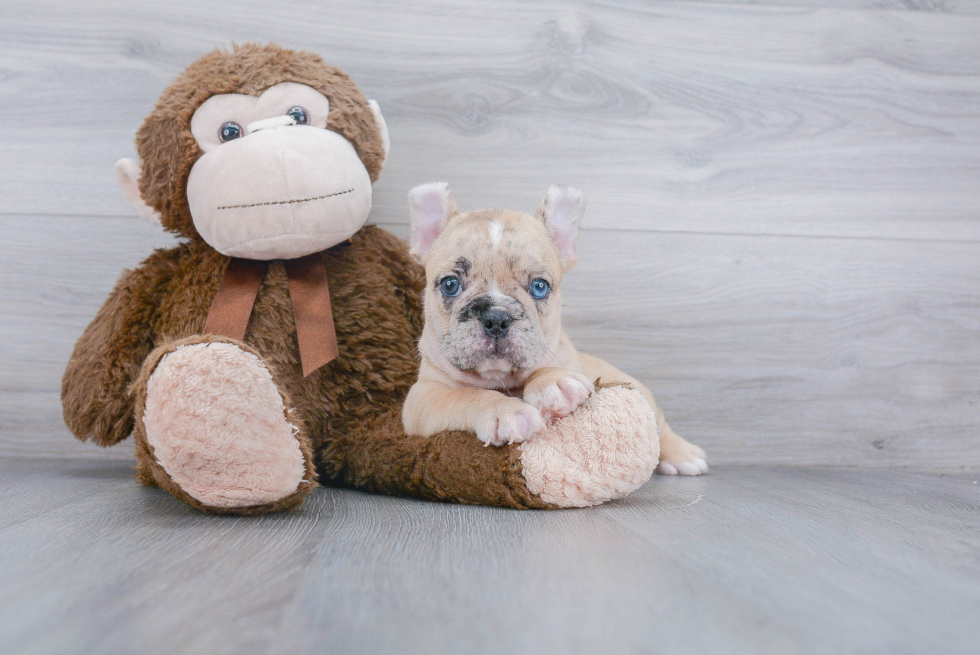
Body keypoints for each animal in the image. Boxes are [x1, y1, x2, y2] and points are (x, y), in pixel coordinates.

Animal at [402, 183, 708, 476]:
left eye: (539, 287)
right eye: (450, 285)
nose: (496, 317)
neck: (501, 379)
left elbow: (551, 367)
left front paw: (553, 383)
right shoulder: (422, 399)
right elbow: (464, 395)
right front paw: (505, 410)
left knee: (660, 425)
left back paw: (682, 455)